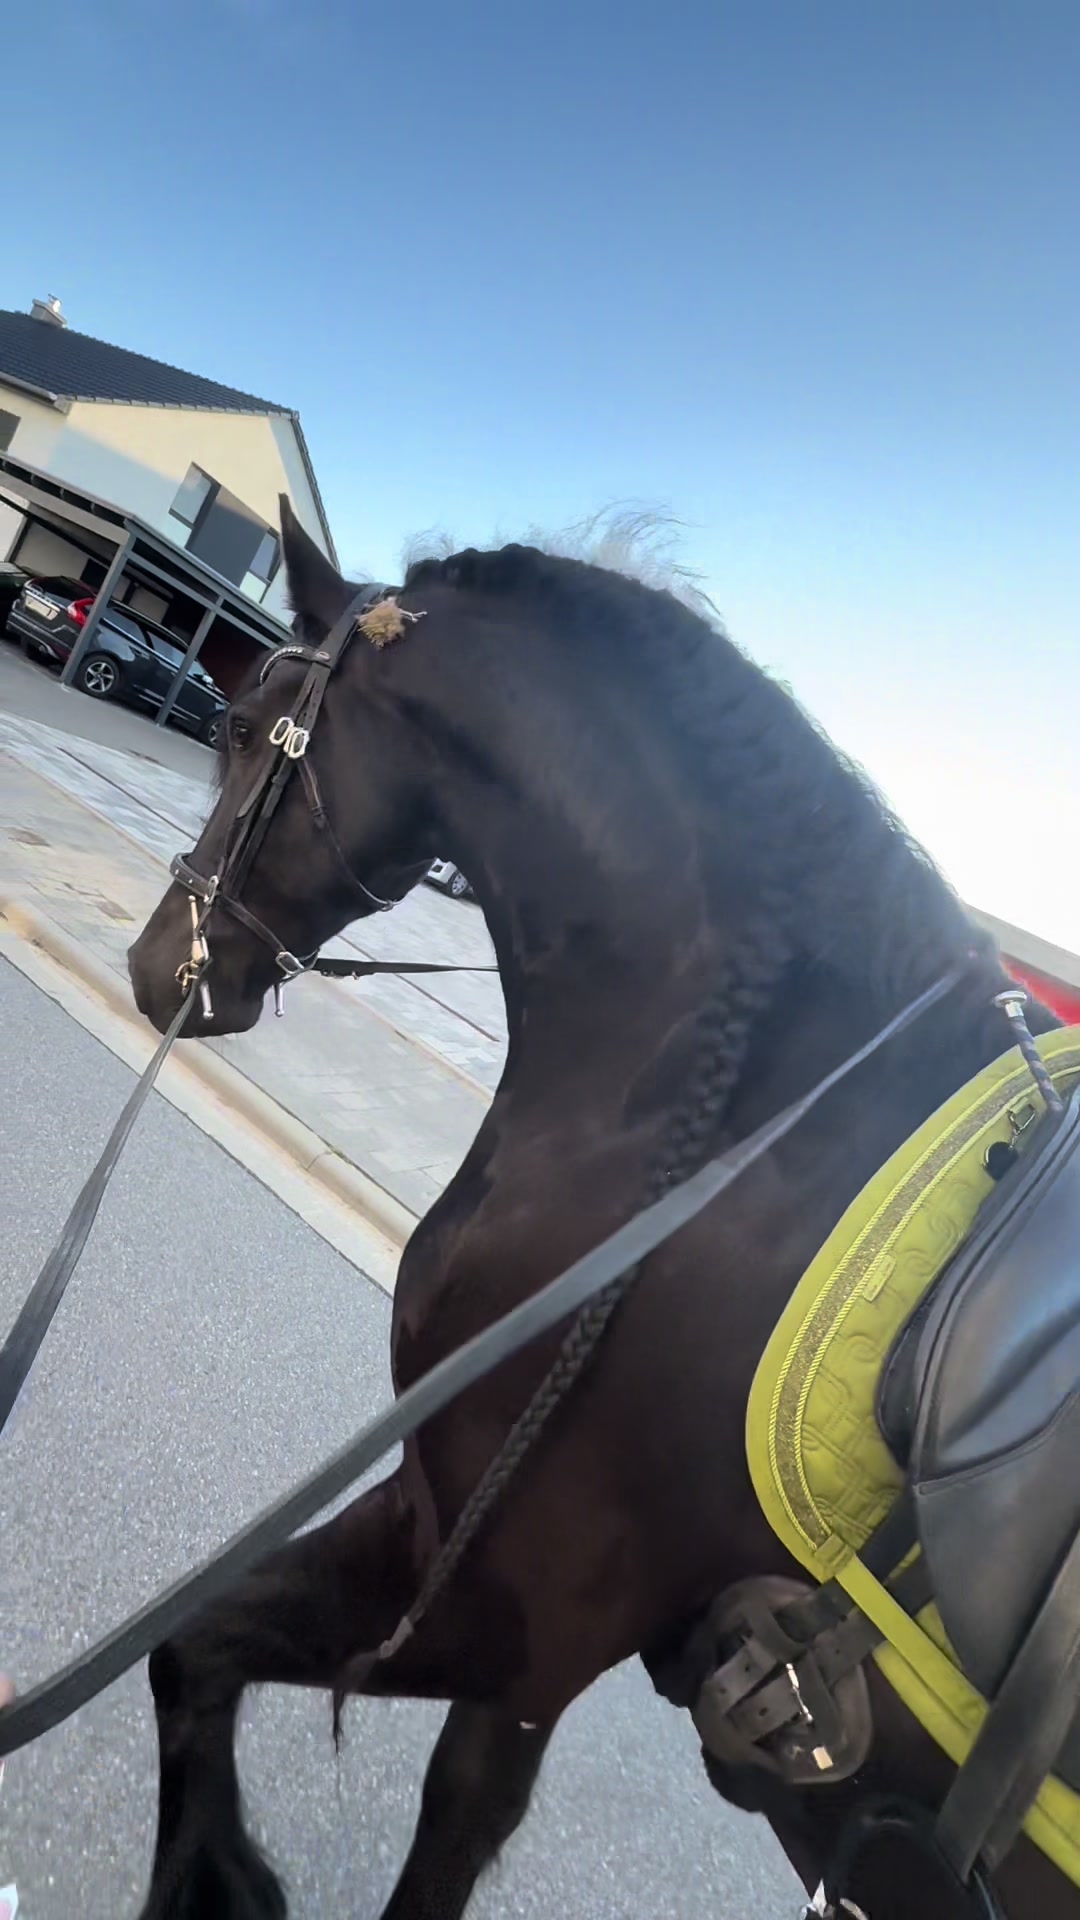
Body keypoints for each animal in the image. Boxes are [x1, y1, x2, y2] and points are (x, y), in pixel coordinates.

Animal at [127, 499, 1070, 1920]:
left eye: (247, 726)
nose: (156, 963)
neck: (722, 1130)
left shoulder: (508, 1616)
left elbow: (444, 1815)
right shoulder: (440, 1528)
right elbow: (190, 1646)